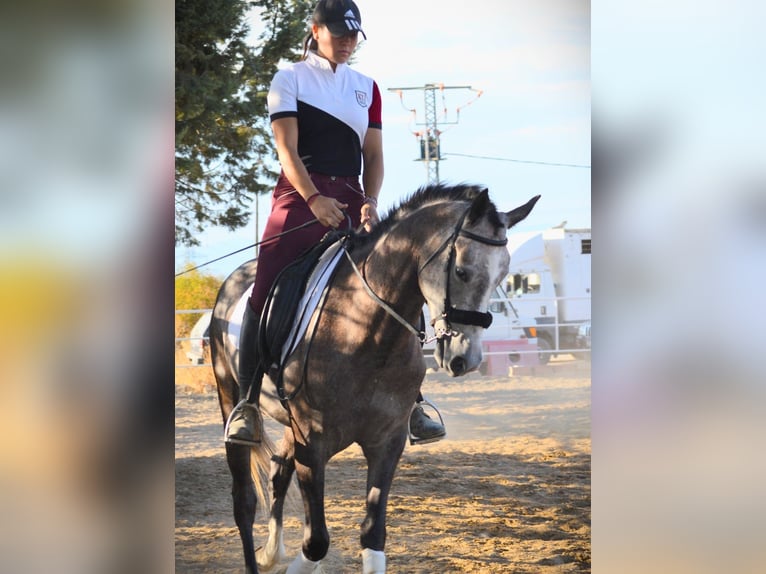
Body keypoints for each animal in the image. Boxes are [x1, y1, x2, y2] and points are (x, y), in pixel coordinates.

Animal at [209, 184, 539, 573]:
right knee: (244, 500)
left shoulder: (387, 442)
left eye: (503, 276)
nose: (466, 359)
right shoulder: (312, 444)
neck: (364, 330)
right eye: (461, 271)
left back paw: (272, 550)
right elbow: (317, 542)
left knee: (279, 470)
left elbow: (373, 535)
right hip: (231, 396)